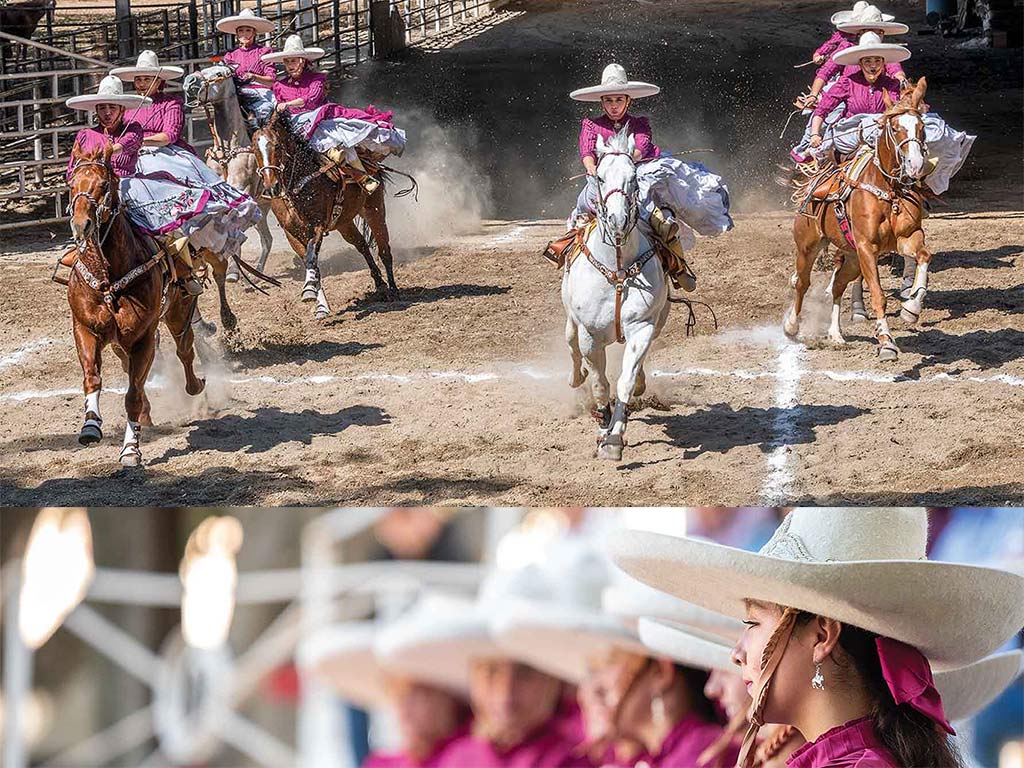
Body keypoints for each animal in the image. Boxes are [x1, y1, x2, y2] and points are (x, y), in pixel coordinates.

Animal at [67, 141, 204, 466]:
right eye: (71, 184)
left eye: (104, 185)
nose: (81, 225)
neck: (109, 278)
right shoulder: (85, 329)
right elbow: (93, 378)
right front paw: (90, 426)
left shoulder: (143, 338)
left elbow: (133, 394)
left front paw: (130, 449)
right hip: (120, 342)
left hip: (178, 314)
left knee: (184, 352)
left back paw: (196, 387)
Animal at [251, 108, 399, 319]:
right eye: (254, 149)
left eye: (277, 146)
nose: (272, 188)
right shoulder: (291, 233)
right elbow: (310, 262)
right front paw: (320, 305)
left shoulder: (318, 225)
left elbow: (311, 255)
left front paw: (308, 291)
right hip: (345, 223)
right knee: (362, 245)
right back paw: (380, 285)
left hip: (374, 210)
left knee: (384, 250)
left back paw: (393, 290)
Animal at [561, 129, 671, 460]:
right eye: (599, 176)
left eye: (634, 178)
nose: (618, 220)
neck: (618, 270)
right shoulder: (590, 334)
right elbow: (600, 382)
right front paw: (603, 422)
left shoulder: (643, 327)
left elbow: (624, 381)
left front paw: (614, 438)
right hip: (571, 321)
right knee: (571, 347)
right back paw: (576, 377)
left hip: (659, 320)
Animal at [786, 79, 933, 362]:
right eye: (895, 128)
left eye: (921, 127)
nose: (915, 164)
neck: (888, 191)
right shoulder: (866, 248)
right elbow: (877, 294)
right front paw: (886, 343)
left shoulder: (908, 237)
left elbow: (924, 256)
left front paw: (911, 308)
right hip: (808, 247)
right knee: (802, 283)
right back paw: (791, 326)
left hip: (851, 257)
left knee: (837, 285)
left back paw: (835, 334)